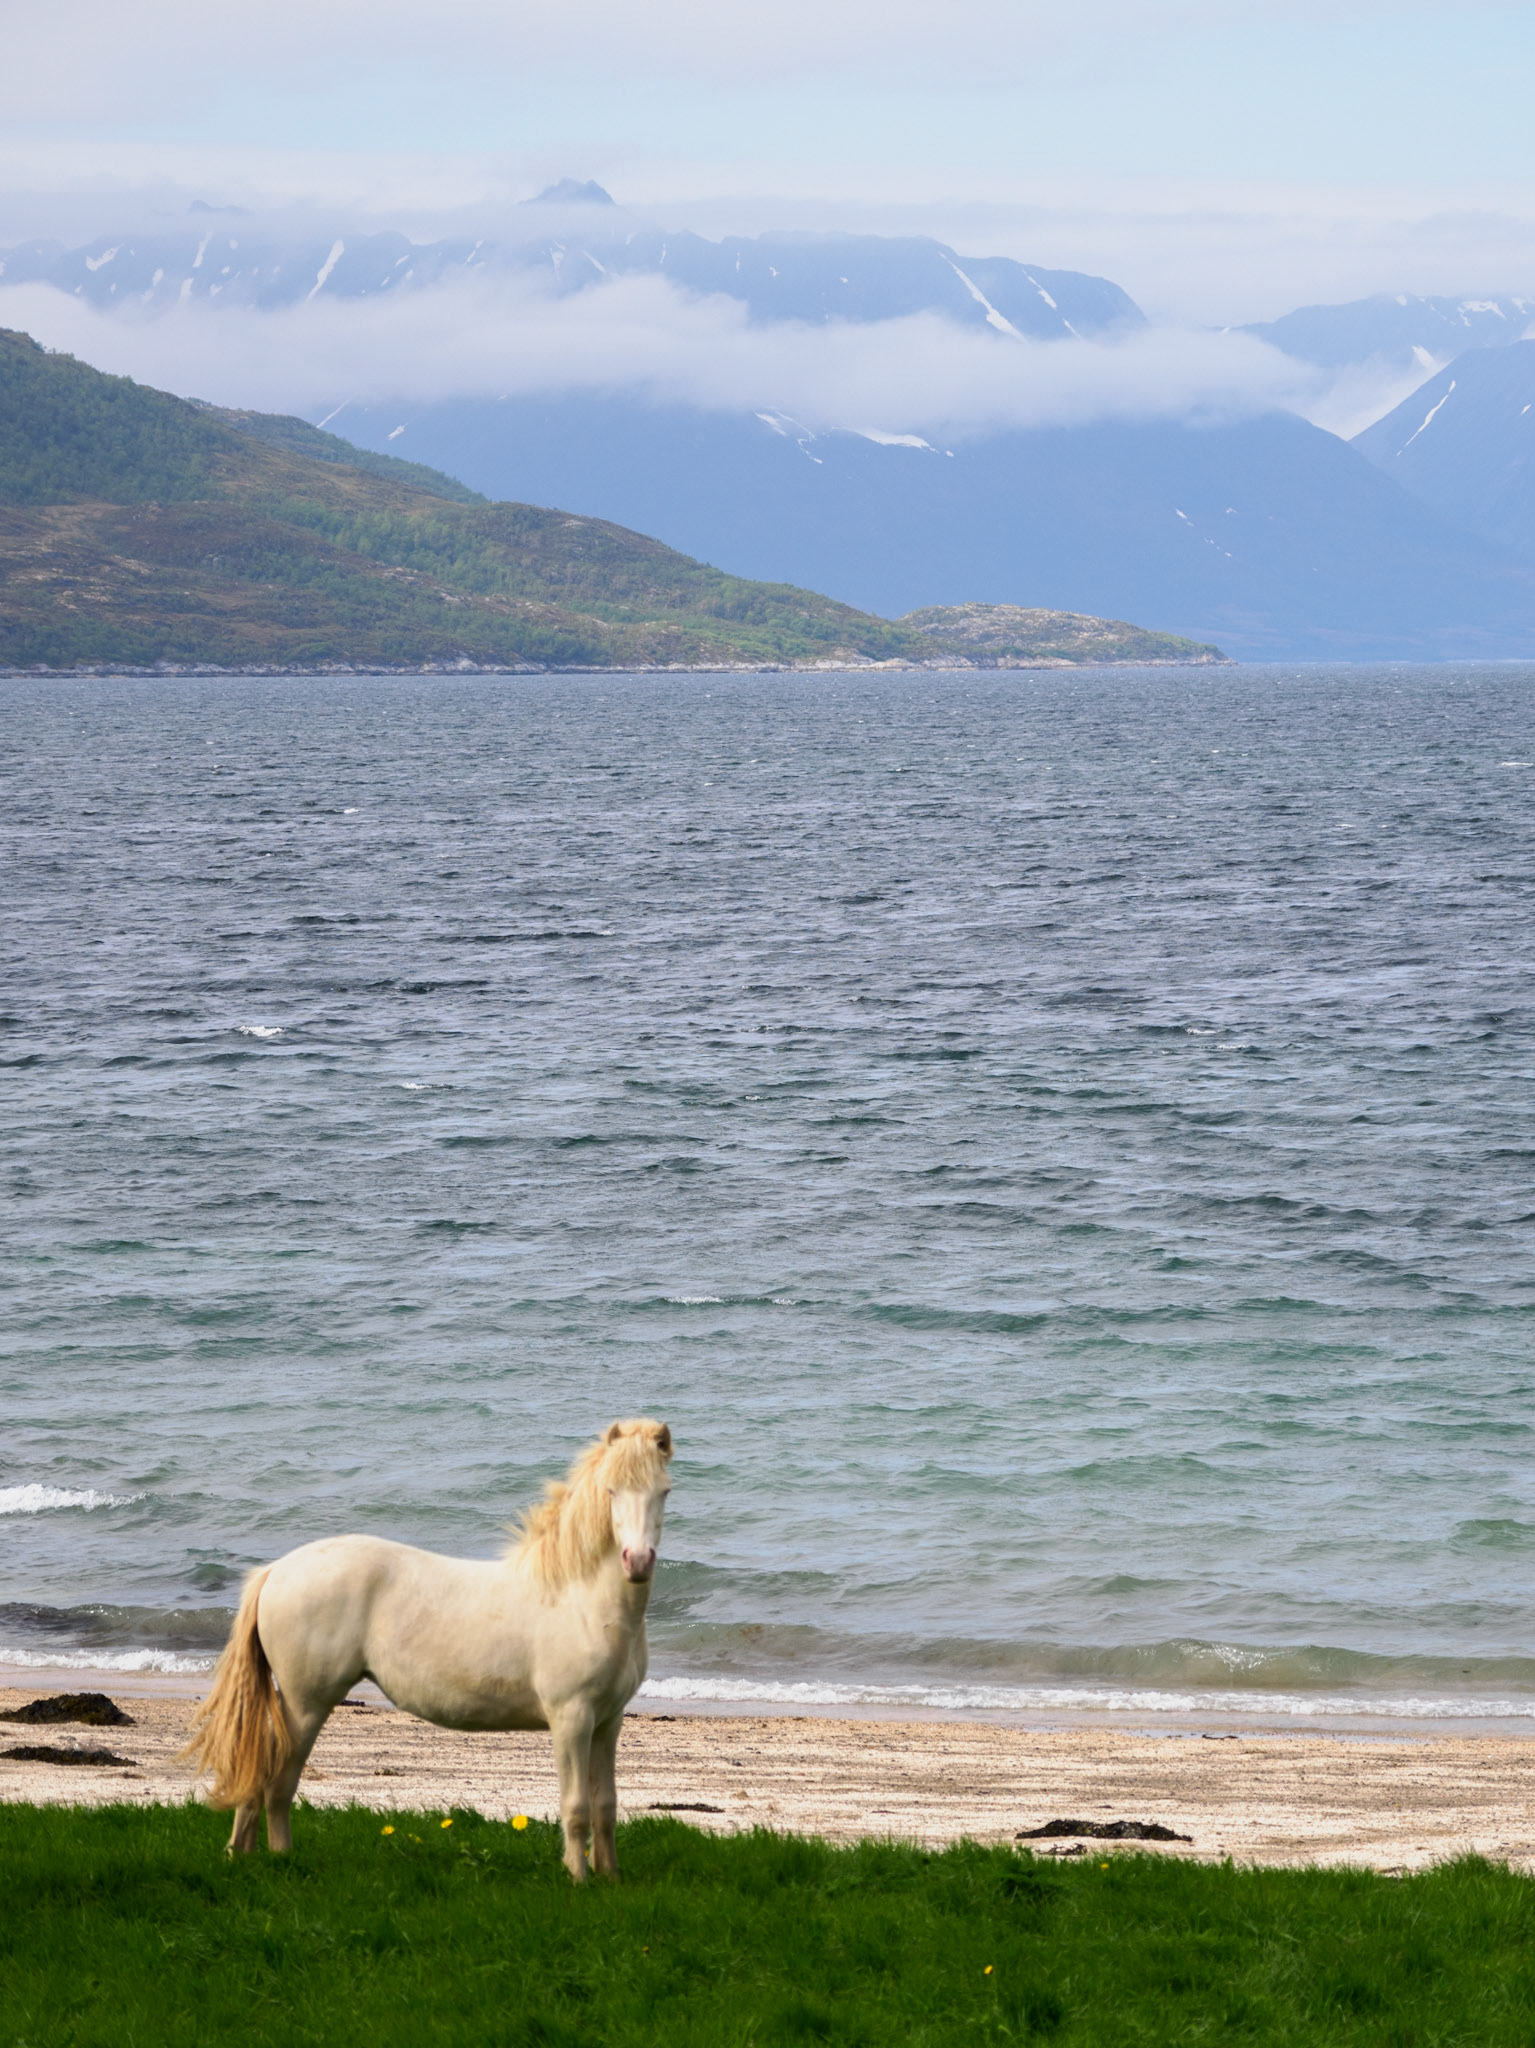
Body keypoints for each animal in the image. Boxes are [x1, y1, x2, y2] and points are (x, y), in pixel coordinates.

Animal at [182, 1417, 673, 1881]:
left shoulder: (607, 1722)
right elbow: (576, 1807)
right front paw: (578, 1878)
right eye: (611, 1490)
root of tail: (276, 1571)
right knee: (278, 1782)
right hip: (305, 1704)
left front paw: (610, 1877)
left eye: (664, 1491)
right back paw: (282, 1859)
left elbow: (605, 1805)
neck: (579, 1599)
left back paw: (241, 1856)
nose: (637, 1562)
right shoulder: (571, 1719)